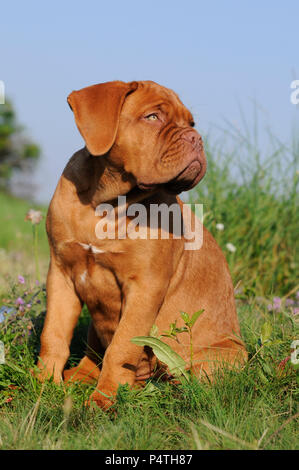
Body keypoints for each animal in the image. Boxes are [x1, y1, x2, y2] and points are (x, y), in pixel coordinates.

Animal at [38, 80, 248, 408]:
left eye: (191, 124)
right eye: (152, 117)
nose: (196, 138)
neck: (107, 203)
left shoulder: (145, 287)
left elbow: (122, 347)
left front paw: (104, 399)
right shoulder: (61, 273)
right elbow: (54, 334)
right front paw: (42, 382)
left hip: (218, 358)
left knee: (186, 380)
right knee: (92, 353)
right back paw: (78, 376)